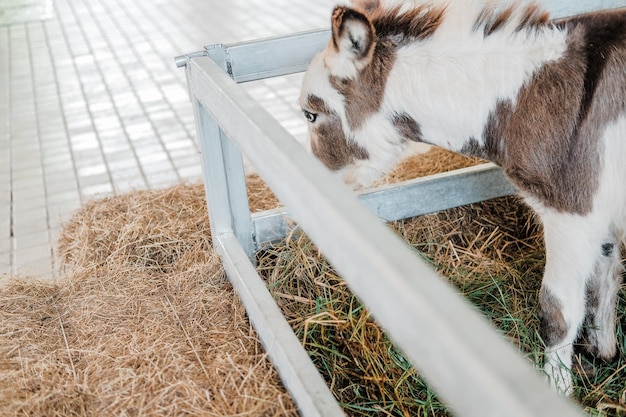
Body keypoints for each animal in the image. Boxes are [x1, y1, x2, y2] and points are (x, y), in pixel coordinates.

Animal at [296, 0, 624, 394]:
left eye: (310, 114)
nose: (307, 188)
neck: (525, 96)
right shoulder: (599, 219)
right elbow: (605, 276)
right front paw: (603, 350)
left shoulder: (572, 216)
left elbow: (557, 311)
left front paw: (556, 390)